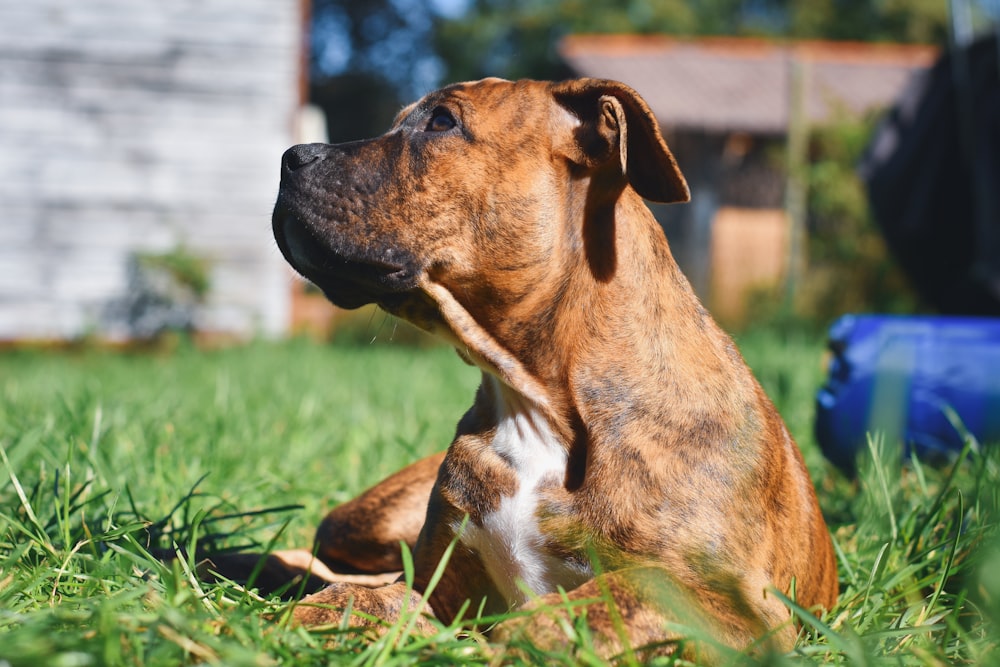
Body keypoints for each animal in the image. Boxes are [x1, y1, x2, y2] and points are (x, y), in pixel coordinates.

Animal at [270, 77, 840, 656]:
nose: (292, 157)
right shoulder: (435, 587)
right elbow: (364, 598)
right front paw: (291, 619)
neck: (538, 404)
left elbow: (610, 595)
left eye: (442, 122)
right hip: (362, 522)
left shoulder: (745, 608)